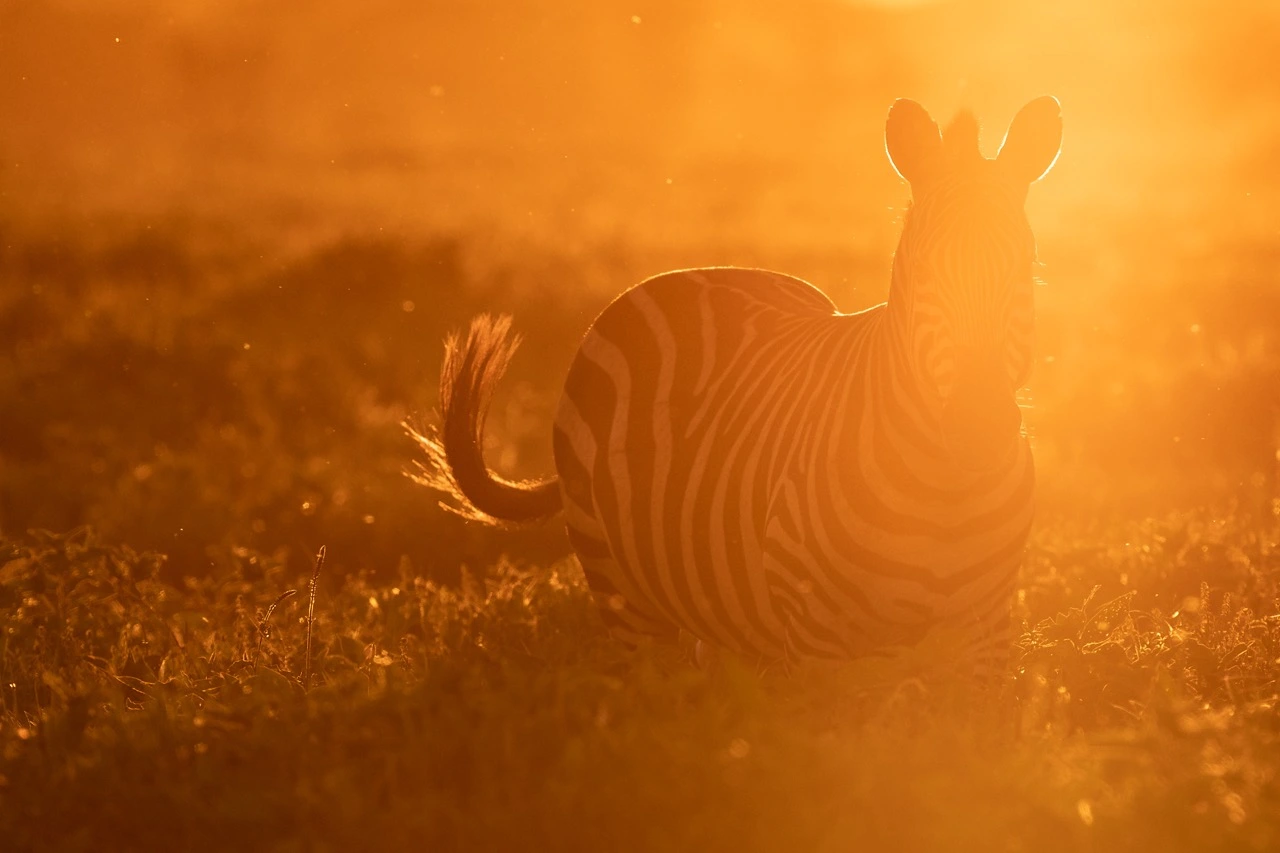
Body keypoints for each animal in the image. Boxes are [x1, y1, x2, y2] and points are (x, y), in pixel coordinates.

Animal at [414, 97, 1063, 676]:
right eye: (920, 271)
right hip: (620, 590)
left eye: (1027, 268)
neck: (946, 487)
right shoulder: (817, 643)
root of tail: (692, 273)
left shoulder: (986, 635)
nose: (978, 426)